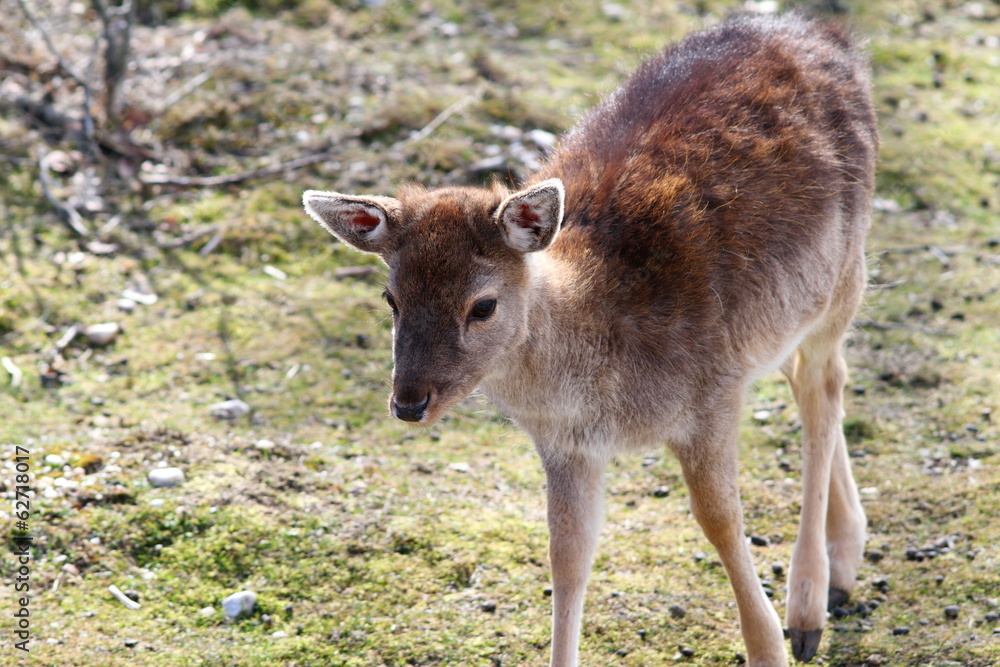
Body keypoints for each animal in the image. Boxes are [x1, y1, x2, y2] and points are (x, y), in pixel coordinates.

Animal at [303, 12, 877, 667]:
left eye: (483, 305)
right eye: (390, 299)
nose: (407, 402)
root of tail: (821, 31)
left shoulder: (711, 396)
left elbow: (721, 521)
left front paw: (772, 645)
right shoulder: (567, 446)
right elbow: (568, 555)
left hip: (844, 273)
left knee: (824, 385)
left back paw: (807, 608)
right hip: (785, 316)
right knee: (805, 378)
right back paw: (844, 562)